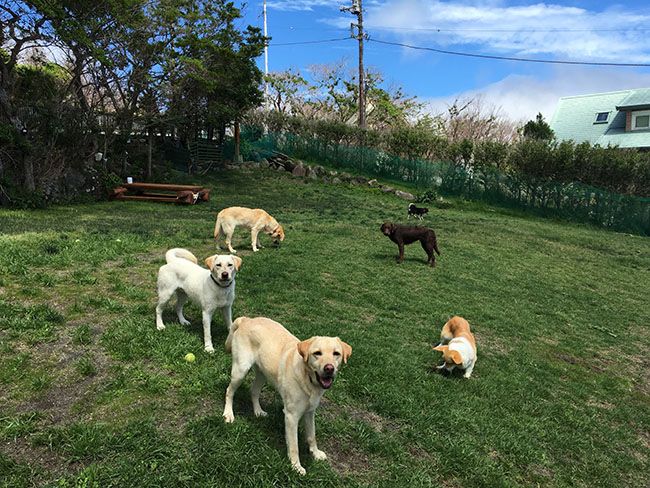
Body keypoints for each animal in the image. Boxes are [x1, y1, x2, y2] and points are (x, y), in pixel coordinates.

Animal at [224, 316, 354, 472]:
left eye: (336, 354)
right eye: (317, 353)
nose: (329, 368)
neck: (308, 380)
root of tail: (247, 319)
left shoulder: (310, 412)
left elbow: (312, 435)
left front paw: (315, 453)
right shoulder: (291, 416)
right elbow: (294, 446)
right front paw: (296, 467)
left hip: (263, 374)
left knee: (254, 391)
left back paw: (258, 411)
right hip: (240, 370)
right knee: (229, 392)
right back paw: (228, 414)